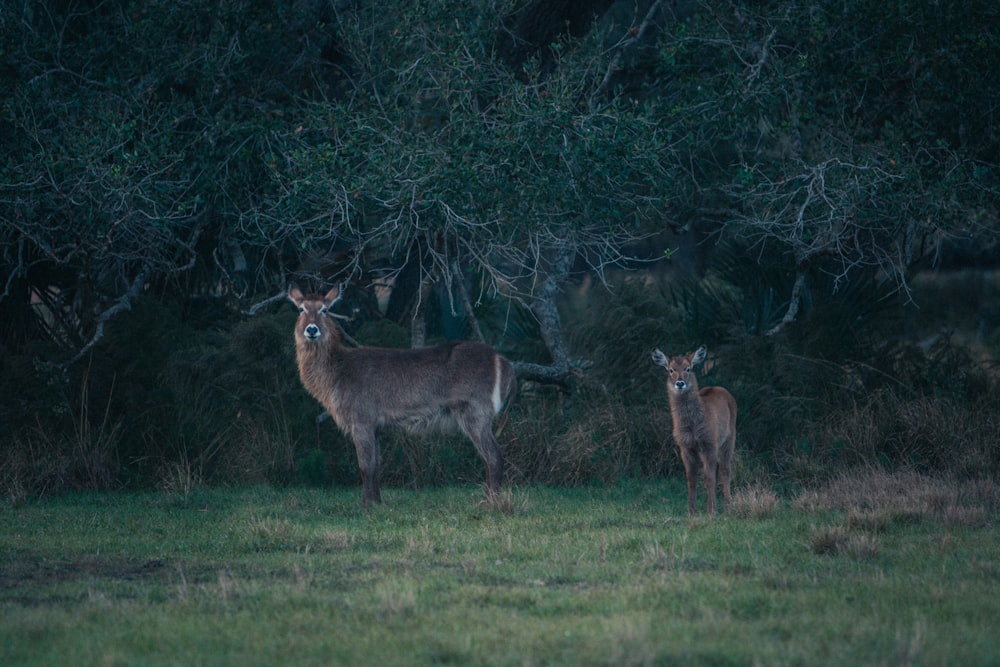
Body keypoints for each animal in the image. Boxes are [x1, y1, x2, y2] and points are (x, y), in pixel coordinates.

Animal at [288, 284, 516, 506]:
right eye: (301, 309)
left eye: (324, 309)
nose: (311, 329)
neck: (337, 374)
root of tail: (505, 363)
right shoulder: (376, 425)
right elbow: (377, 464)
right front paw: (378, 502)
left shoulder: (362, 419)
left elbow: (365, 465)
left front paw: (365, 505)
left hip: (475, 412)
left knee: (494, 455)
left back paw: (490, 501)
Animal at [652, 344, 740, 516]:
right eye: (671, 370)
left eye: (688, 368)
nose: (680, 383)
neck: (692, 425)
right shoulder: (686, 447)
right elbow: (691, 479)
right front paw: (692, 511)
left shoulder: (708, 444)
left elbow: (708, 478)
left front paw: (712, 511)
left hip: (729, 439)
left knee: (725, 470)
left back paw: (727, 507)